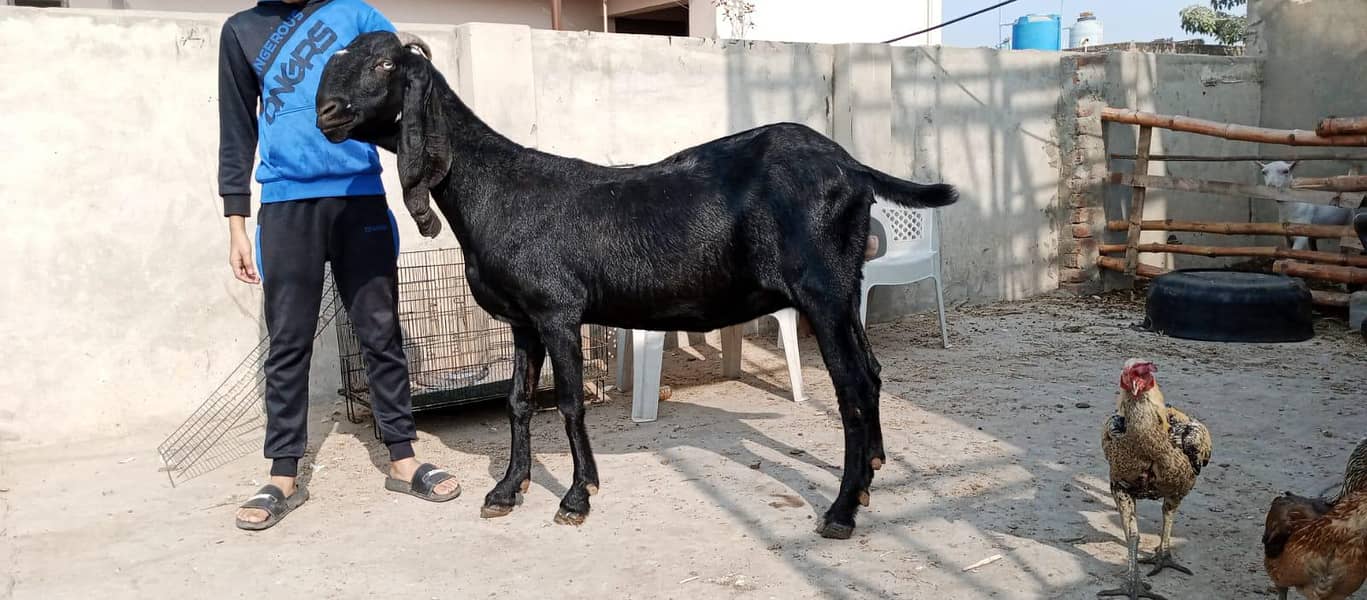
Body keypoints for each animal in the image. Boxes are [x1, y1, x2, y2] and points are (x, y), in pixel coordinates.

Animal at [315, 31, 958, 539]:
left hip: (822, 291)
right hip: (845, 288)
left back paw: (843, 509)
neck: (497, 187)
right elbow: (518, 402)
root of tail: (852, 166)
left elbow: (569, 403)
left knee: (852, 385)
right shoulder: (523, 320)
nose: (327, 112)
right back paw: (873, 470)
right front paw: (506, 491)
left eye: (385, 65)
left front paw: (577, 498)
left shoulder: (557, 311)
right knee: (871, 371)